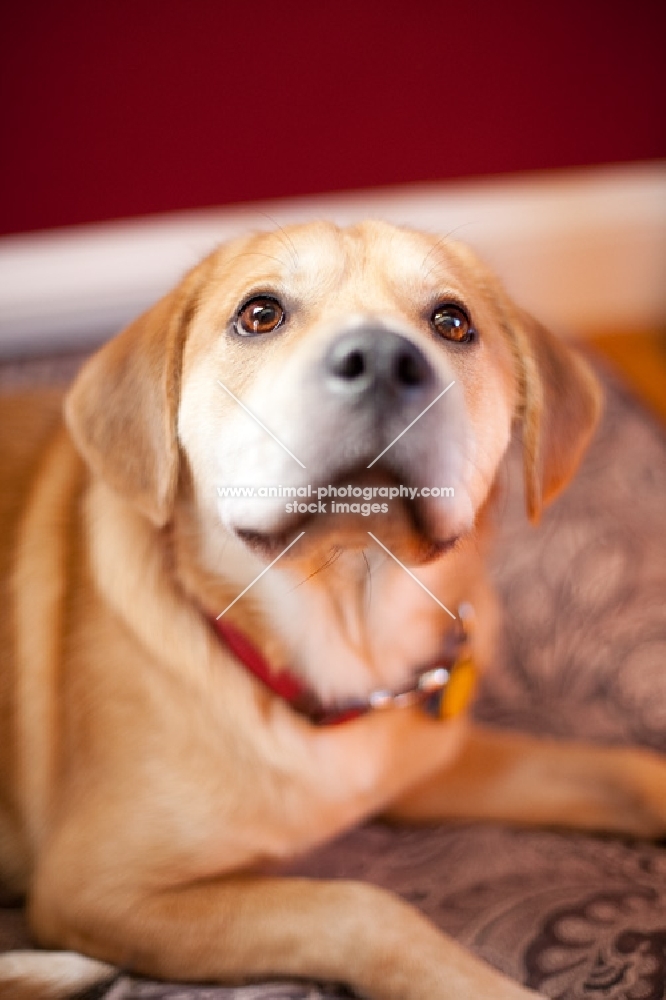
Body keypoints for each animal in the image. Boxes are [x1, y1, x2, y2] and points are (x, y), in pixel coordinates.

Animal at [1, 221, 664, 1000]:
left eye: (452, 321)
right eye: (260, 314)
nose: (380, 360)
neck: (348, 628)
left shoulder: (430, 767)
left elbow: (627, 772)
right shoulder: (98, 892)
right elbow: (362, 906)